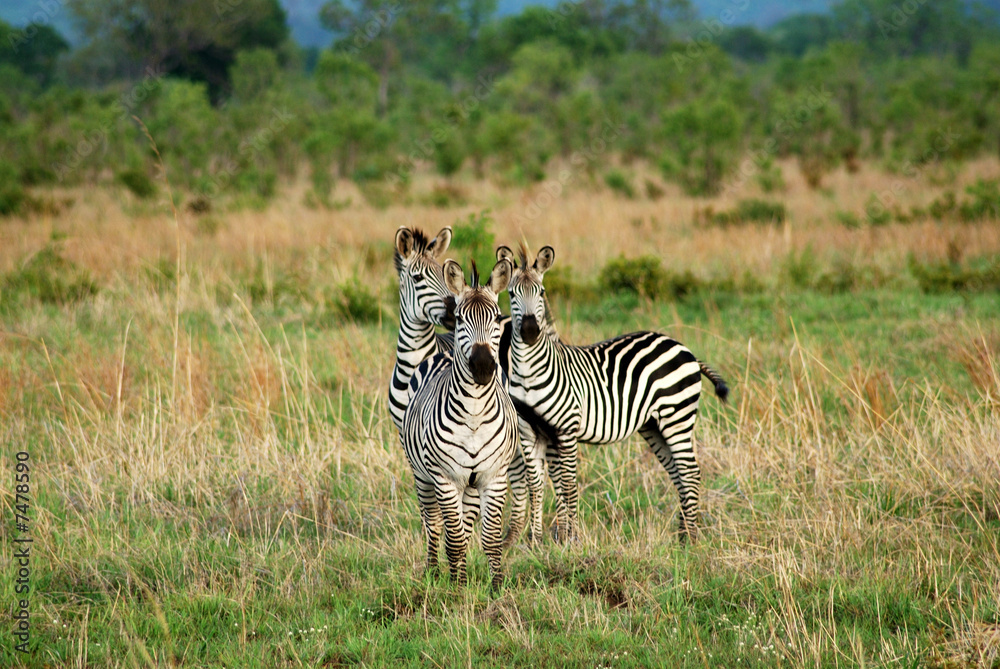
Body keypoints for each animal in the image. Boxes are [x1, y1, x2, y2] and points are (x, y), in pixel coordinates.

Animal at [401, 258, 519, 590]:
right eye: (460, 318)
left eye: (497, 318)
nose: (482, 366)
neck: (475, 414)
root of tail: (441, 353)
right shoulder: (445, 477)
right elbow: (452, 538)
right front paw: (458, 588)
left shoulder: (493, 476)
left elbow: (489, 539)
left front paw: (496, 587)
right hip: (423, 476)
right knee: (433, 524)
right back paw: (434, 572)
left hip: (471, 485)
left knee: (463, 529)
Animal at [498, 243, 729, 543]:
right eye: (512, 294)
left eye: (542, 292)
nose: (529, 331)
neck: (529, 372)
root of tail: (682, 346)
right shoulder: (531, 431)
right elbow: (537, 484)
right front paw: (536, 540)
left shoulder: (566, 429)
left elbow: (568, 484)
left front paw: (570, 539)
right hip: (653, 425)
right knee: (678, 472)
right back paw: (681, 535)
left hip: (677, 416)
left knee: (689, 471)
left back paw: (690, 538)